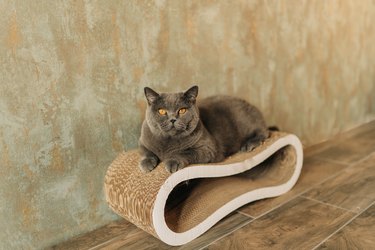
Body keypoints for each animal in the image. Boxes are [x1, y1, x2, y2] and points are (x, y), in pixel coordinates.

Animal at [138, 85, 270, 173]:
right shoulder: (142, 141)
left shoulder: (207, 148)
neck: (168, 142)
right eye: (161, 111)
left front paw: (172, 162)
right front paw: (146, 164)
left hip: (244, 119)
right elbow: (145, 152)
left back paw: (249, 144)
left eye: (182, 110)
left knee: (264, 131)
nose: (173, 119)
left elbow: (184, 152)